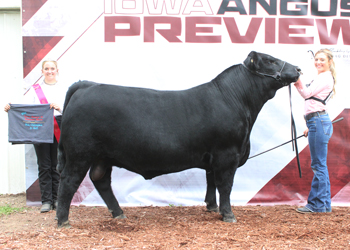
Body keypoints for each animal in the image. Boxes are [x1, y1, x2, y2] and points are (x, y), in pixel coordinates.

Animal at [55, 50, 300, 227]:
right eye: (270, 60)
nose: (298, 68)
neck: (238, 100)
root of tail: (87, 85)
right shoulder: (227, 154)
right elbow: (225, 185)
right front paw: (228, 214)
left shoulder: (214, 156)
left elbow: (211, 181)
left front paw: (212, 207)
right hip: (80, 154)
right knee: (68, 181)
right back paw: (63, 220)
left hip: (102, 157)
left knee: (101, 180)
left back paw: (118, 213)